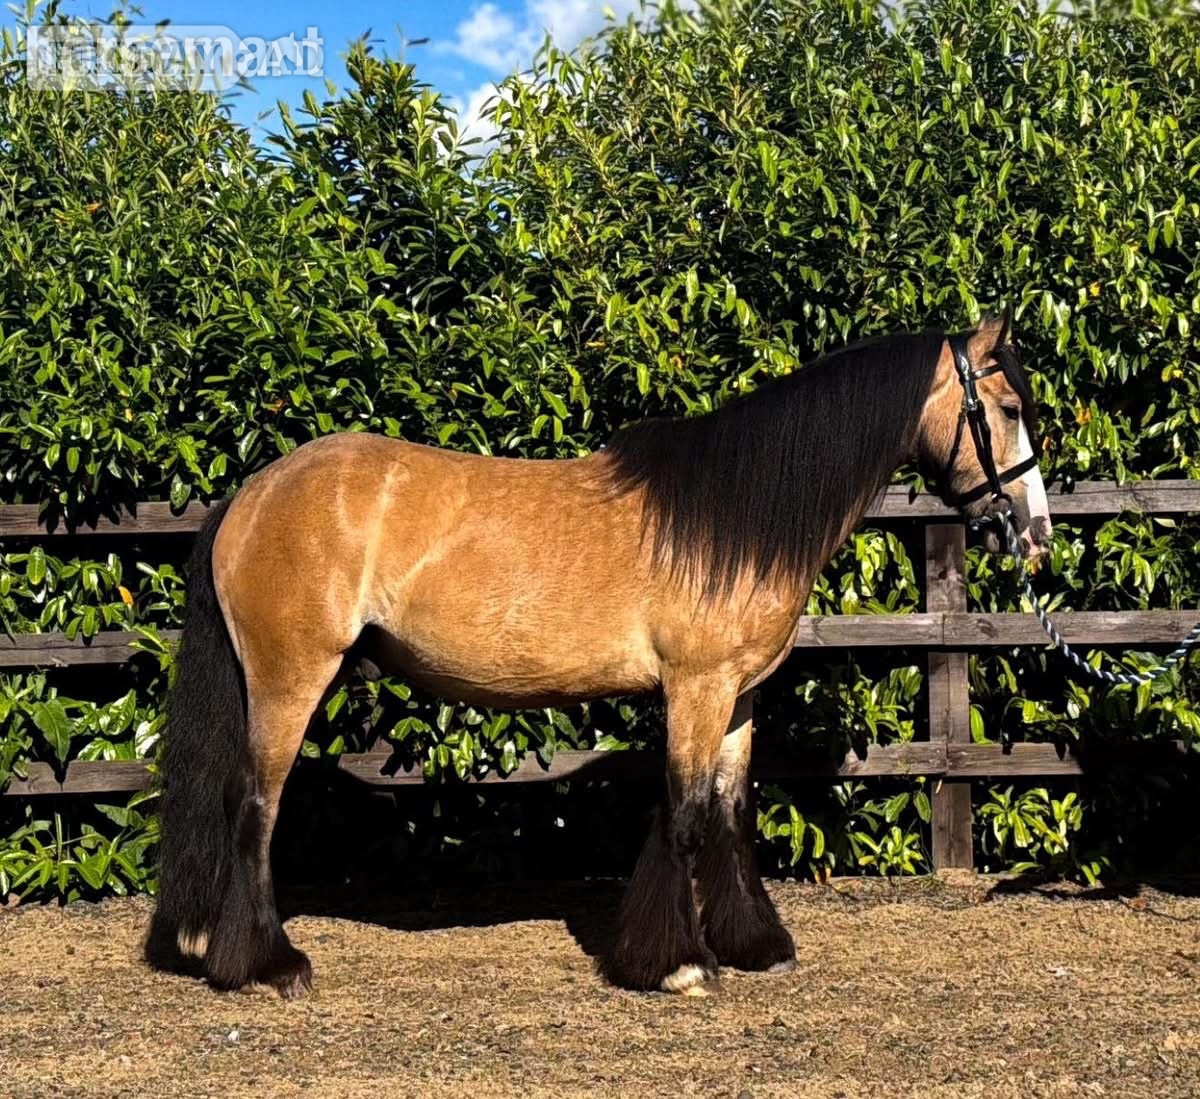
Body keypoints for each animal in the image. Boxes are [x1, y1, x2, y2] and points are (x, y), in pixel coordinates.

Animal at [144, 310, 1052, 998]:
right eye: (1007, 407)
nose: (1036, 533)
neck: (734, 517)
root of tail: (253, 494)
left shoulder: (738, 697)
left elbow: (730, 814)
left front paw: (755, 945)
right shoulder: (695, 689)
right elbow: (686, 815)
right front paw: (677, 964)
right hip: (289, 680)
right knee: (253, 806)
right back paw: (267, 963)